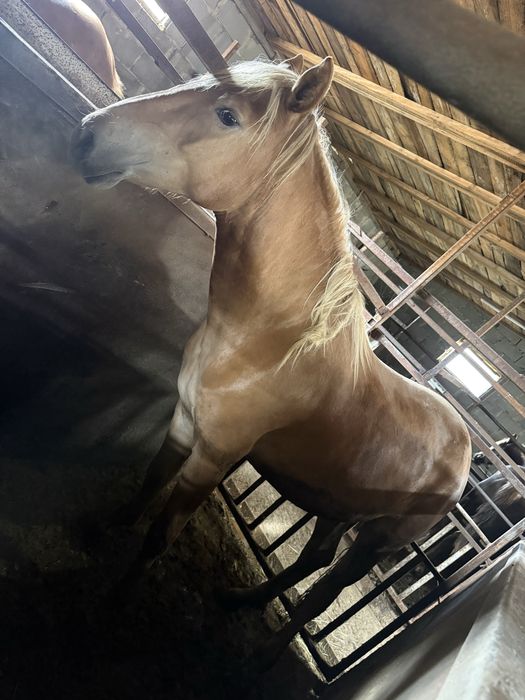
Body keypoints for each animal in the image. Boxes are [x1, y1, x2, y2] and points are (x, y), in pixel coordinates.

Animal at [71, 55, 471, 666]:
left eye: (228, 115)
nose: (88, 135)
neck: (271, 341)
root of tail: (465, 447)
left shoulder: (215, 456)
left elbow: (161, 533)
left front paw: (113, 606)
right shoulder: (185, 422)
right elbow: (149, 482)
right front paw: (104, 529)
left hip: (378, 541)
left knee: (327, 590)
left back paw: (267, 652)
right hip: (337, 506)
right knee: (314, 562)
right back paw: (242, 599)